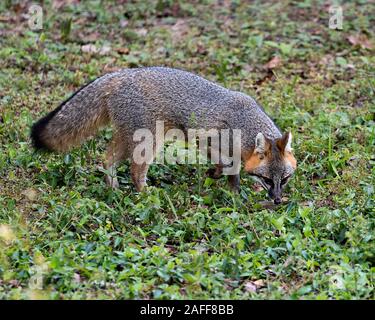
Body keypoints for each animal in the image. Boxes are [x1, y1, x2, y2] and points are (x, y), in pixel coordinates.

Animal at [31, 66, 296, 204]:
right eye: (267, 179)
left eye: (284, 180)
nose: (277, 200)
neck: (244, 121)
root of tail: (121, 74)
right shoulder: (206, 140)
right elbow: (227, 167)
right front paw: (221, 181)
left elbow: (231, 170)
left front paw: (229, 189)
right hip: (149, 142)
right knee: (135, 170)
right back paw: (145, 193)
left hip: (129, 139)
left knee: (107, 160)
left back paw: (113, 189)